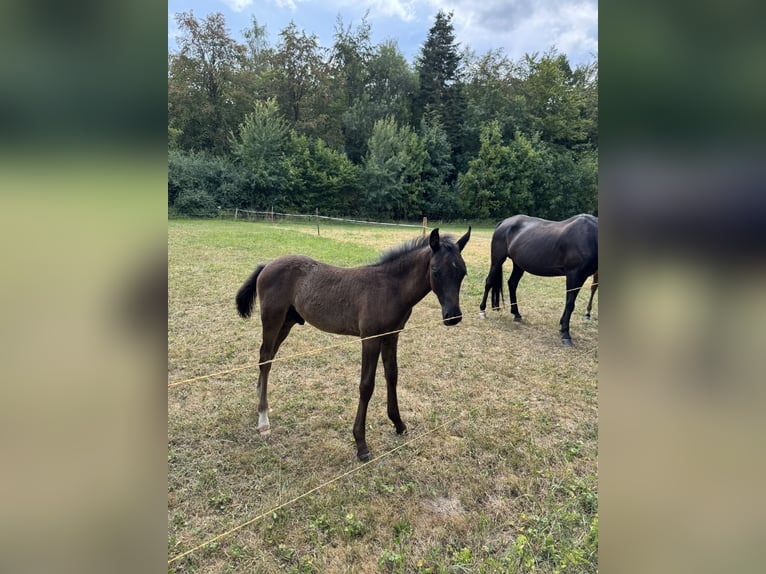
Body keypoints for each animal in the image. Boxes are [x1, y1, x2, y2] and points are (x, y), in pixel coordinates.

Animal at [236, 227, 471, 461]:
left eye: (463, 272)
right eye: (435, 270)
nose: (453, 316)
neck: (390, 288)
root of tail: (267, 265)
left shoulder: (391, 336)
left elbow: (392, 375)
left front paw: (398, 423)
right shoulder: (370, 338)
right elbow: (366, 386)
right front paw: (361, 444)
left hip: (287, 322)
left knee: (267, 358)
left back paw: (261, 404)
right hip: (272, 320)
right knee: (265, 359)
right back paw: (263, 419)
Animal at [478, 214, 597, 345]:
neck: (590, 235)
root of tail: (504, 222)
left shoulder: (581, 277)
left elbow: (569, 302)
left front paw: (562, 326)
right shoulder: (574, 275)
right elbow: (570, 303)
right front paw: (566, 334)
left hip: (518, 265)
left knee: (512, 284)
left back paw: (516, 314)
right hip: (497, 260)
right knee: (489, 281)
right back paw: (482, 311)